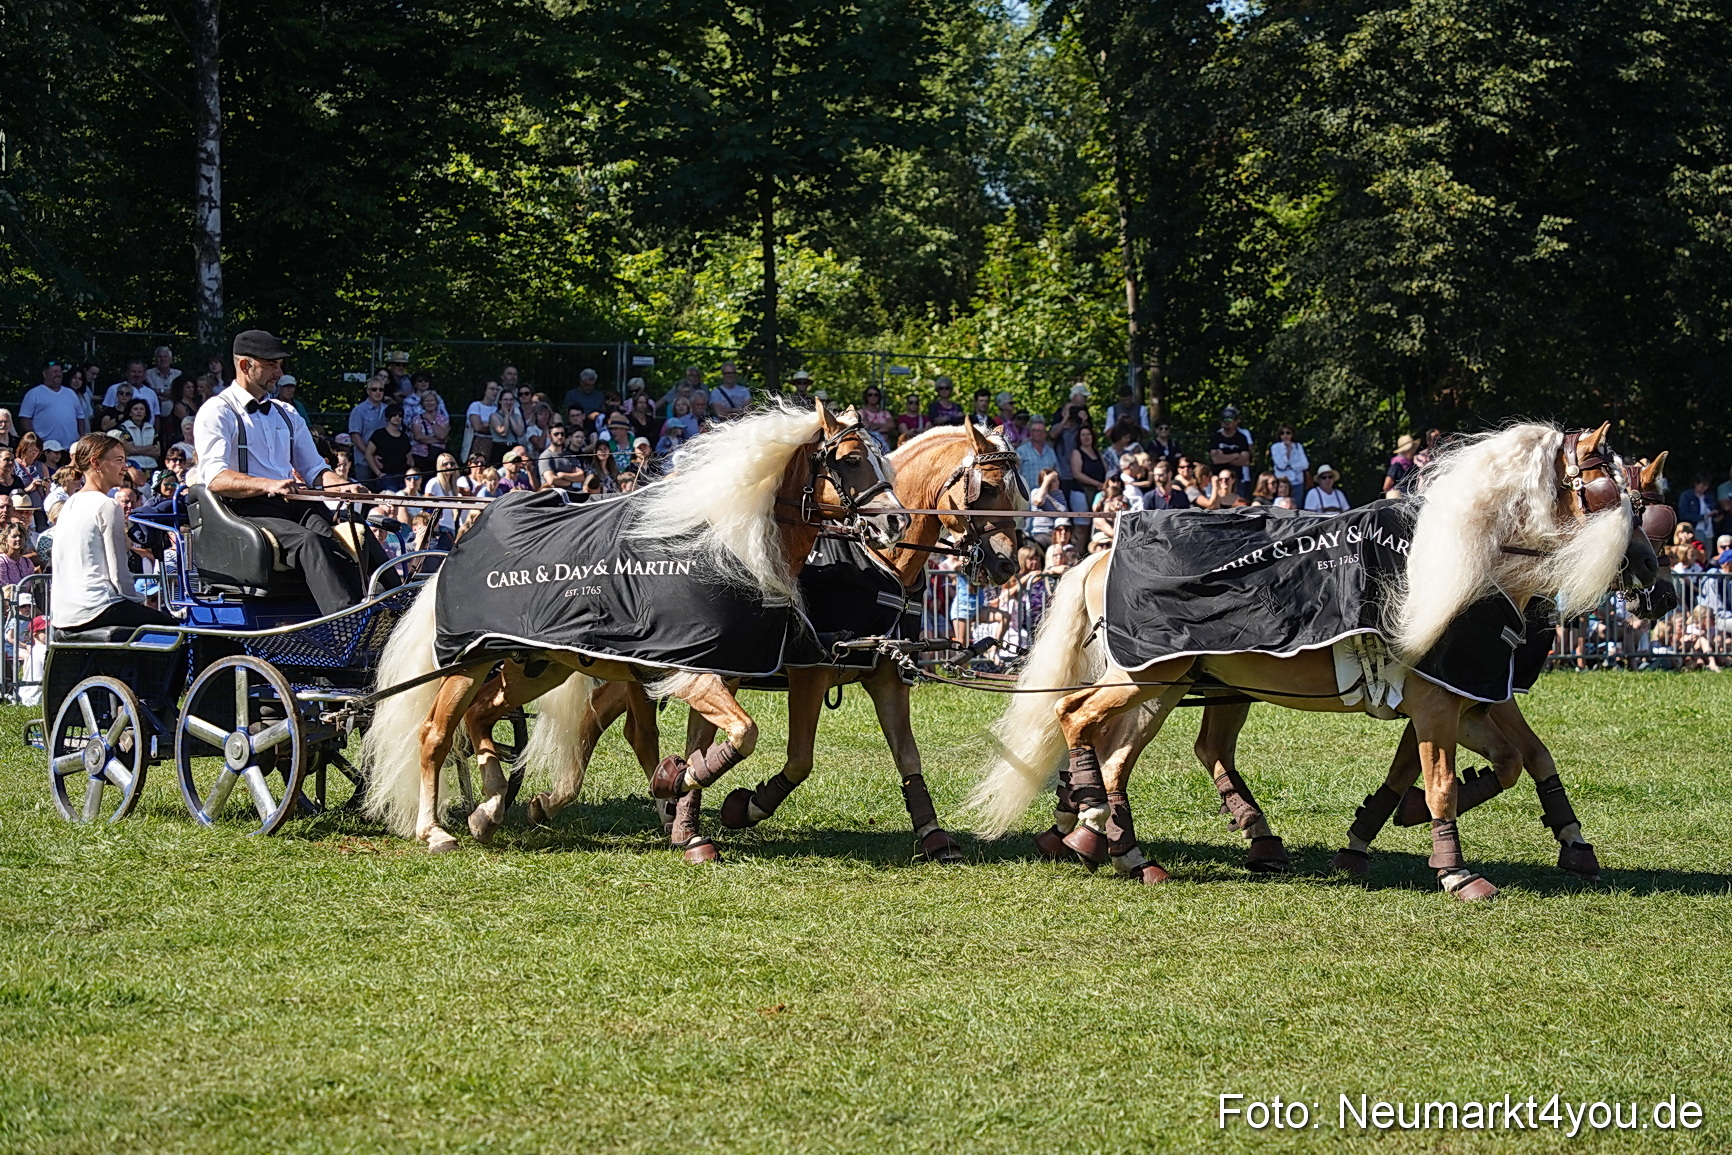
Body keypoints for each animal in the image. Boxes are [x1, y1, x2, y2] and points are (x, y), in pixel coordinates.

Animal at [361, 402, 907, 853]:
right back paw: (434, 831)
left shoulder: (716, 673)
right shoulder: (691, 674)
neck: (731, 552)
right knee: (435, 733)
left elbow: (707, 745)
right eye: (852, 459)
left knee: (479, 716)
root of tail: (454, 552)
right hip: (470, 661)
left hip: (535, 666)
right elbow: (743, 735)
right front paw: (675, 792)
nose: (897, 523)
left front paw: (682, 810)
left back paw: (489, 808)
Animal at [515, 421, 1026, 863]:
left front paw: (934, 835)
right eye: (988, 488)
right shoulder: (810, 673)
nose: (1006, 564)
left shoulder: (885, 675)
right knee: (621, 726)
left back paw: (579, 803)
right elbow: (799, 760)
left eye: (1017, 492)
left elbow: (907, 755)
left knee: (603, 719)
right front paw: (745, 807)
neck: (878, 564)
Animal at [966, 422, 1658, 901]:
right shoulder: (1439, 703)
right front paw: (1455, 871)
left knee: (1127, 752)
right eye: (1607, 493)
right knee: (1076, 716)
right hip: (1147, 676)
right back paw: (1092, 815)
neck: (1465, 564)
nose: (1656, 579)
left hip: (1169, 685)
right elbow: (1442, 780)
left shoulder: (1468, 698)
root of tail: (1100, 552)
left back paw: (1122, 846)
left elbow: (1521, 759)